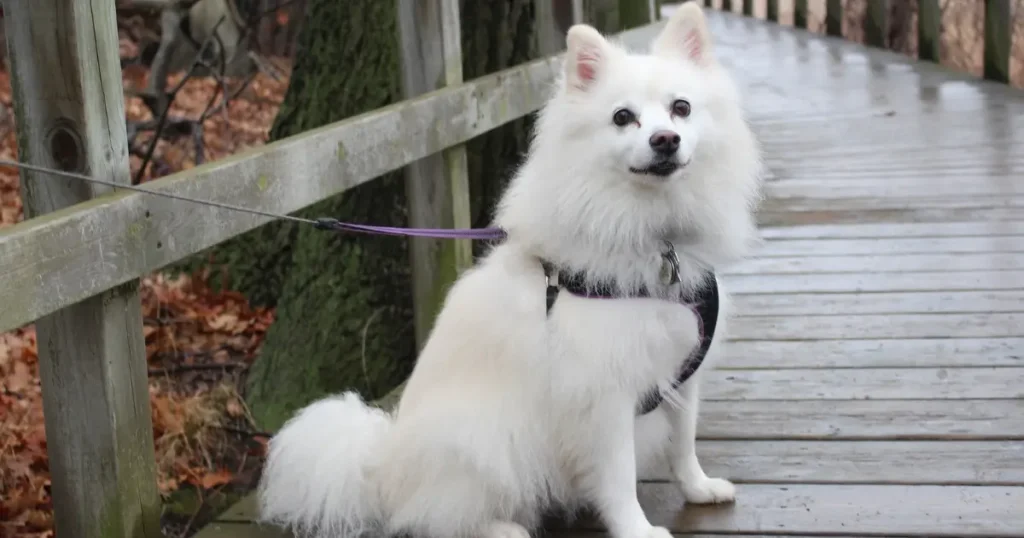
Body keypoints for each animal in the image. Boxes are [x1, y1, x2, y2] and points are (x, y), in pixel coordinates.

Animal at [256, 4, 761, 536]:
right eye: (623, 118)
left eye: (681, 108)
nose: (665, 140)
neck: (653, 233)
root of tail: (381, 471)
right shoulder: (602, 396)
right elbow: (619, 477)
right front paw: (636, 530)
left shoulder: (681, 372)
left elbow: (684, 446)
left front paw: (699, 489)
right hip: (481, 441)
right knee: (436, 517)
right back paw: (502, 527)